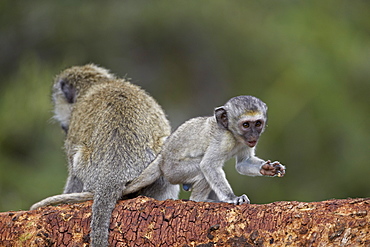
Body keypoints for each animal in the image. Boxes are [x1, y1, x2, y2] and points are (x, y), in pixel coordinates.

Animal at [123, 94, 284, 205]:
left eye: (257, 124)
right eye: (246, 125)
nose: (253, 136)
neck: (233, 134)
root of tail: (162, 158)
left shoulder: (245, 143)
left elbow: (242, 163)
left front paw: (268, 168)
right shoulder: (224, 140)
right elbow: (208, 165)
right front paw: (232, 198)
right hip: (175, 171)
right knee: (201, 170)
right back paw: (198, 201)